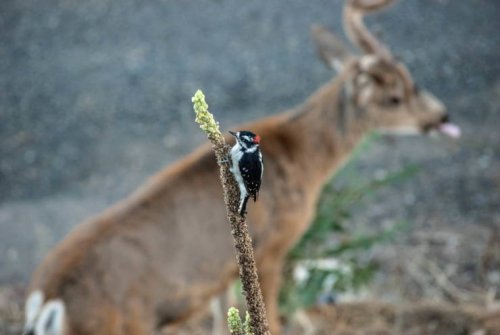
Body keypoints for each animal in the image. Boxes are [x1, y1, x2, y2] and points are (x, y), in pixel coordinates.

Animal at [25, 0, 458, 335]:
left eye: (413, 81)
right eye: (394, 97)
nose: (441, 116)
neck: (302, 156)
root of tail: (47, 301)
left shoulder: (220, 277)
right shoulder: (273, 249)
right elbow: (274, 319)